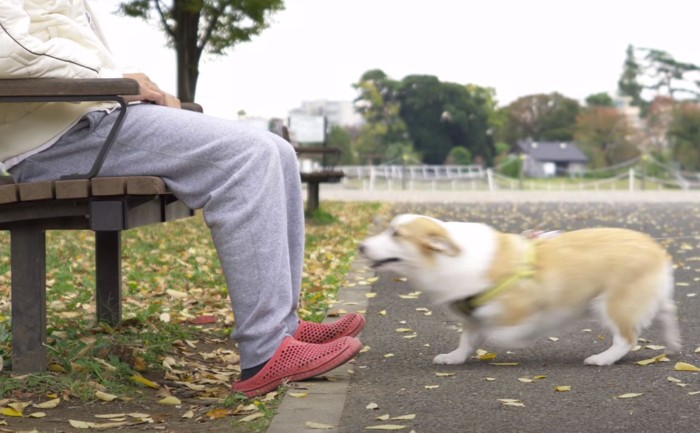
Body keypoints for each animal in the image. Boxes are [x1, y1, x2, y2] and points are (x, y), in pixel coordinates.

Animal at [364, 213, 680, 364]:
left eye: (396, 234)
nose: (361, 246)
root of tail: (656, 249)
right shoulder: (470, 317)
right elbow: (466, 340)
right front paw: (454, 358)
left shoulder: (517, 312)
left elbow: (501, 332)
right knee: (666, 309)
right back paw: (673, 340)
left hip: (613, 303)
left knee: (627, 338)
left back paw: (603, 359)